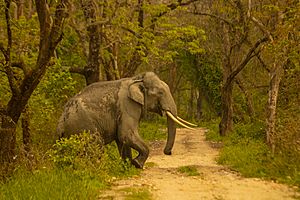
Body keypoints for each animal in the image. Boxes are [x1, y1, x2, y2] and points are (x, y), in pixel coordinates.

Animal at [57, 72, 196, 169]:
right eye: (160, 93)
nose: (168, 152)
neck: (137, 78)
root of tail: (61, 122)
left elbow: (122, 139)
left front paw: (128, 166)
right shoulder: (127, 105)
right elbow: (125, 134)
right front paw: (137, 165)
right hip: (85, 127)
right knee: (97, 146)